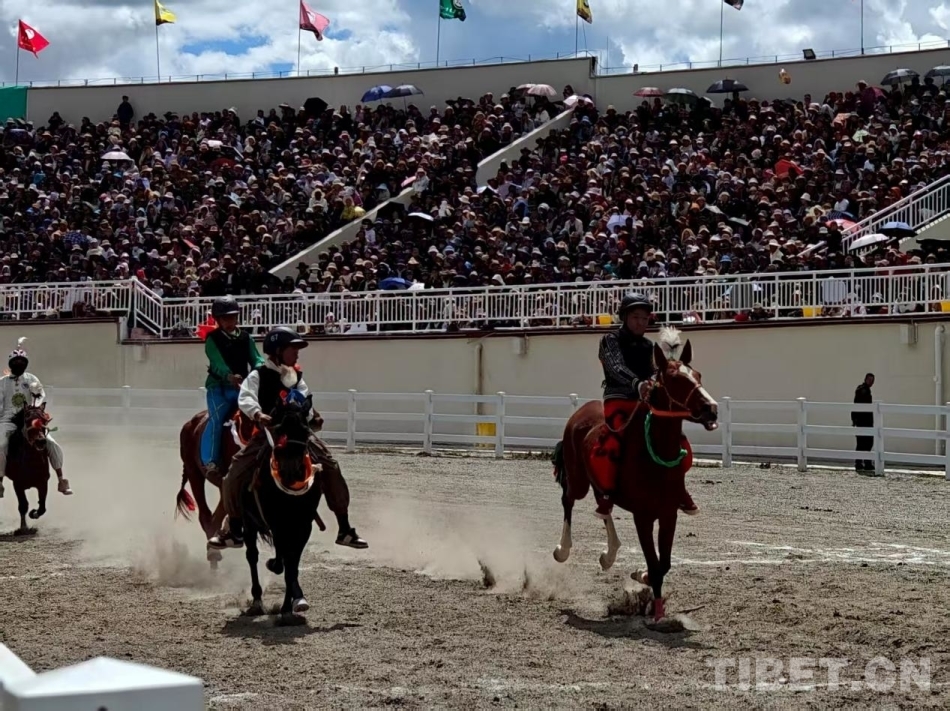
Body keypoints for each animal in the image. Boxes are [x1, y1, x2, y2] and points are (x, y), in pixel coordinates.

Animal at [6, 397, 55, 535]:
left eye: (44, 420)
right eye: (27, 420)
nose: (40, 441)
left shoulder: (43, 482)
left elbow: (42, 506)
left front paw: (34, 513)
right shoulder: (17, 484)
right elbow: (23, 505)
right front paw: (23, 528)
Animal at [240, 393, 324, 626]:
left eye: (305, 431)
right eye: (278, 429)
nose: (290, 470)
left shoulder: (303, 525)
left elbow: (292, 566)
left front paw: (292, 605)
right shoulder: (276, 523)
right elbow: (284, 562)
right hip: (249, 522)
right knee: (252, 556)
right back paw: (257, 601)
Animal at [551, 328, 719, 623]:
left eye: (697, 375)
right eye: (675, 379)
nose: (711, 408)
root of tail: (579, 413)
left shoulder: (669, 514)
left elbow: (664, 563)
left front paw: (644, 581)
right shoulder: (643, 517)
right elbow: (655, 563)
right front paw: (655, 607)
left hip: (598, 486)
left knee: (603, 504)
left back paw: (609, 554)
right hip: (578, 480)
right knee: (568, 500)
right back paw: (563, 550)